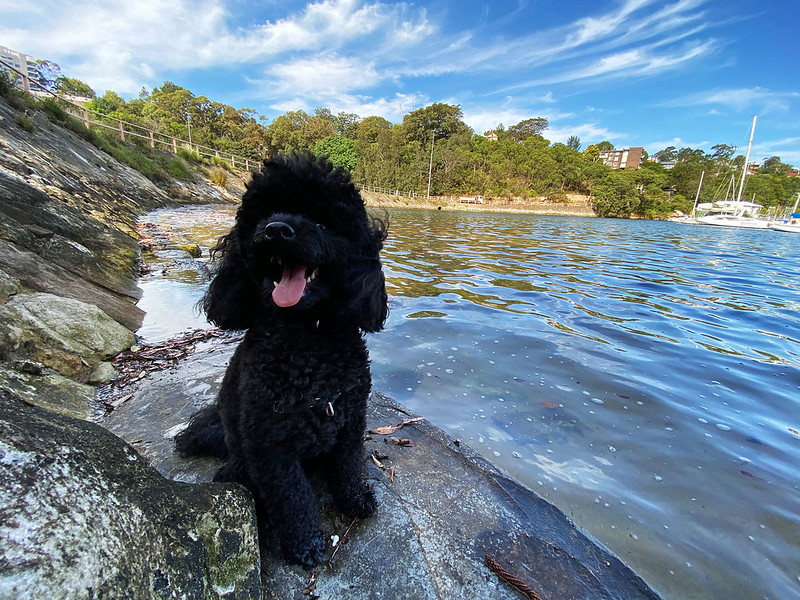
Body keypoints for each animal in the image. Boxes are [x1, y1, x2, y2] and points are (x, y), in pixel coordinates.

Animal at [175, 155, 388, 568]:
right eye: (264, 214)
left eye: (323, 219)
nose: (276, 231)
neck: (307, 339)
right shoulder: (271, 446)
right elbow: (293, 498)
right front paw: (304, 543)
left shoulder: (350, 421)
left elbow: (349, 467)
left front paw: (355, 499)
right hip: (242, 460)